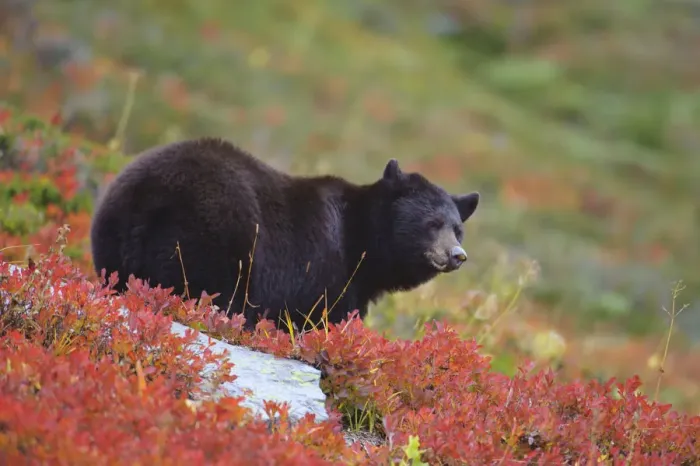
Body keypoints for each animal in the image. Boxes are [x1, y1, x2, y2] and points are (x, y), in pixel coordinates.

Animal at [90, 137, 480, 331]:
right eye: (432, 223)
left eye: (458, 229)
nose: (457, 255)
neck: (363, 243)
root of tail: (149, 195)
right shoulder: (325, 269)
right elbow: (320, 317)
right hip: (209, 240)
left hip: (110, 236)